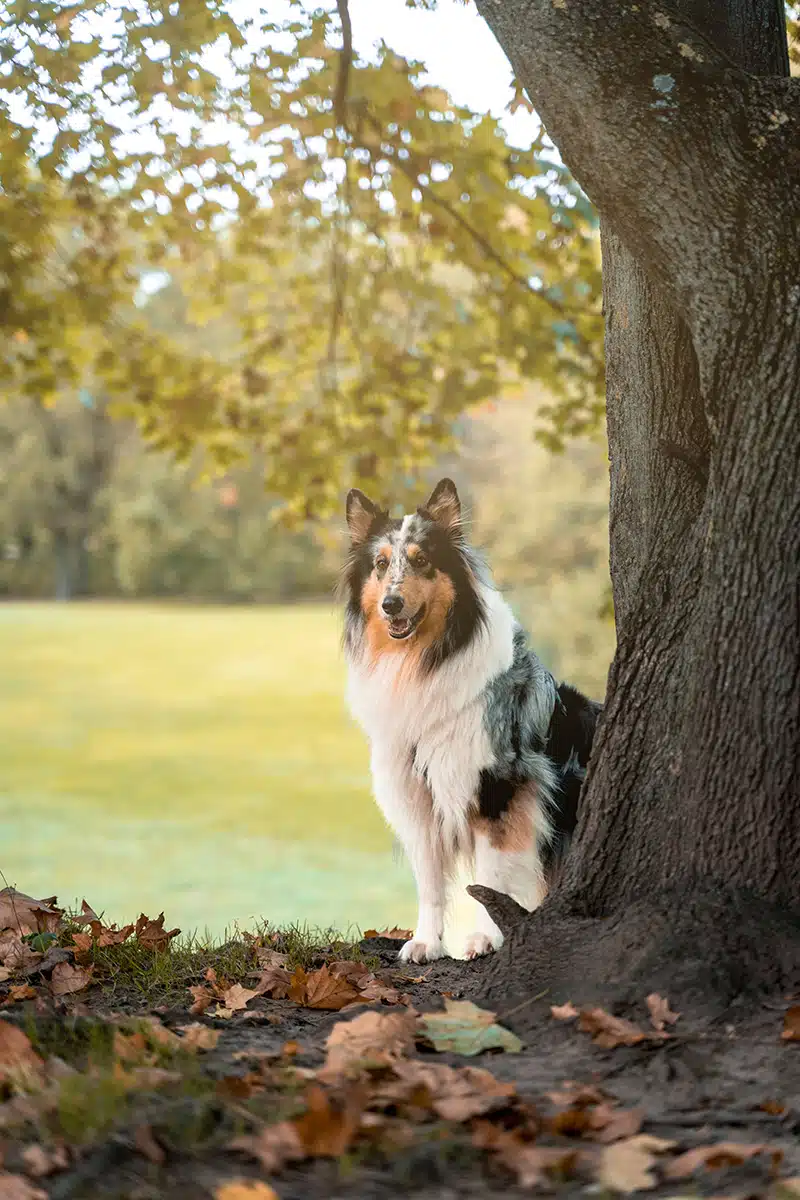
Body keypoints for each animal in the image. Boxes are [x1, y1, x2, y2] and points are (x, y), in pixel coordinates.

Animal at [343, 477, 599, 964]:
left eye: (421, 560)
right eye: (381, 564)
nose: (391, 604)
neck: (423, 662)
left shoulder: (498, 789)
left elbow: (490, 875)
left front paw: (483, 939)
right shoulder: (418, 799)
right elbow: (430, 884)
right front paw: (426, 943)